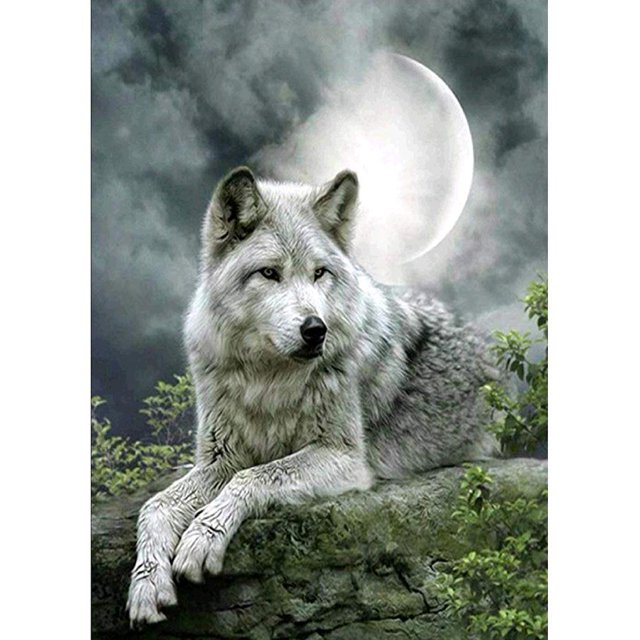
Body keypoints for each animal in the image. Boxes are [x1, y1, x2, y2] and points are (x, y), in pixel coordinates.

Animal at [127, 166, 498, 626]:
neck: (268, 381)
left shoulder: (345, 458)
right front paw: (146, 585)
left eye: (319, 273)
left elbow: (254, 476)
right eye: (270, 273)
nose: (315, 329)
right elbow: (155, 506)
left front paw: (201, 537)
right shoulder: (220, 459)